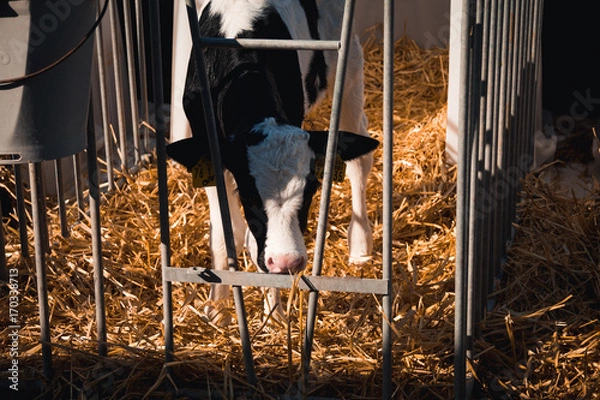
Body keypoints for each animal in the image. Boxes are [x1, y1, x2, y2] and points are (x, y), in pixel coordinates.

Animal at [166, 0, 378, 324]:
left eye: (311, 191)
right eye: (249, 196)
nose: (286, 262)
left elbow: (253, 241)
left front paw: (274, 313)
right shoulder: (210, 153)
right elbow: (227, 233)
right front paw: (218, 306)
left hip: (350, 62)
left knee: (358, 162)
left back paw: (360, 246)